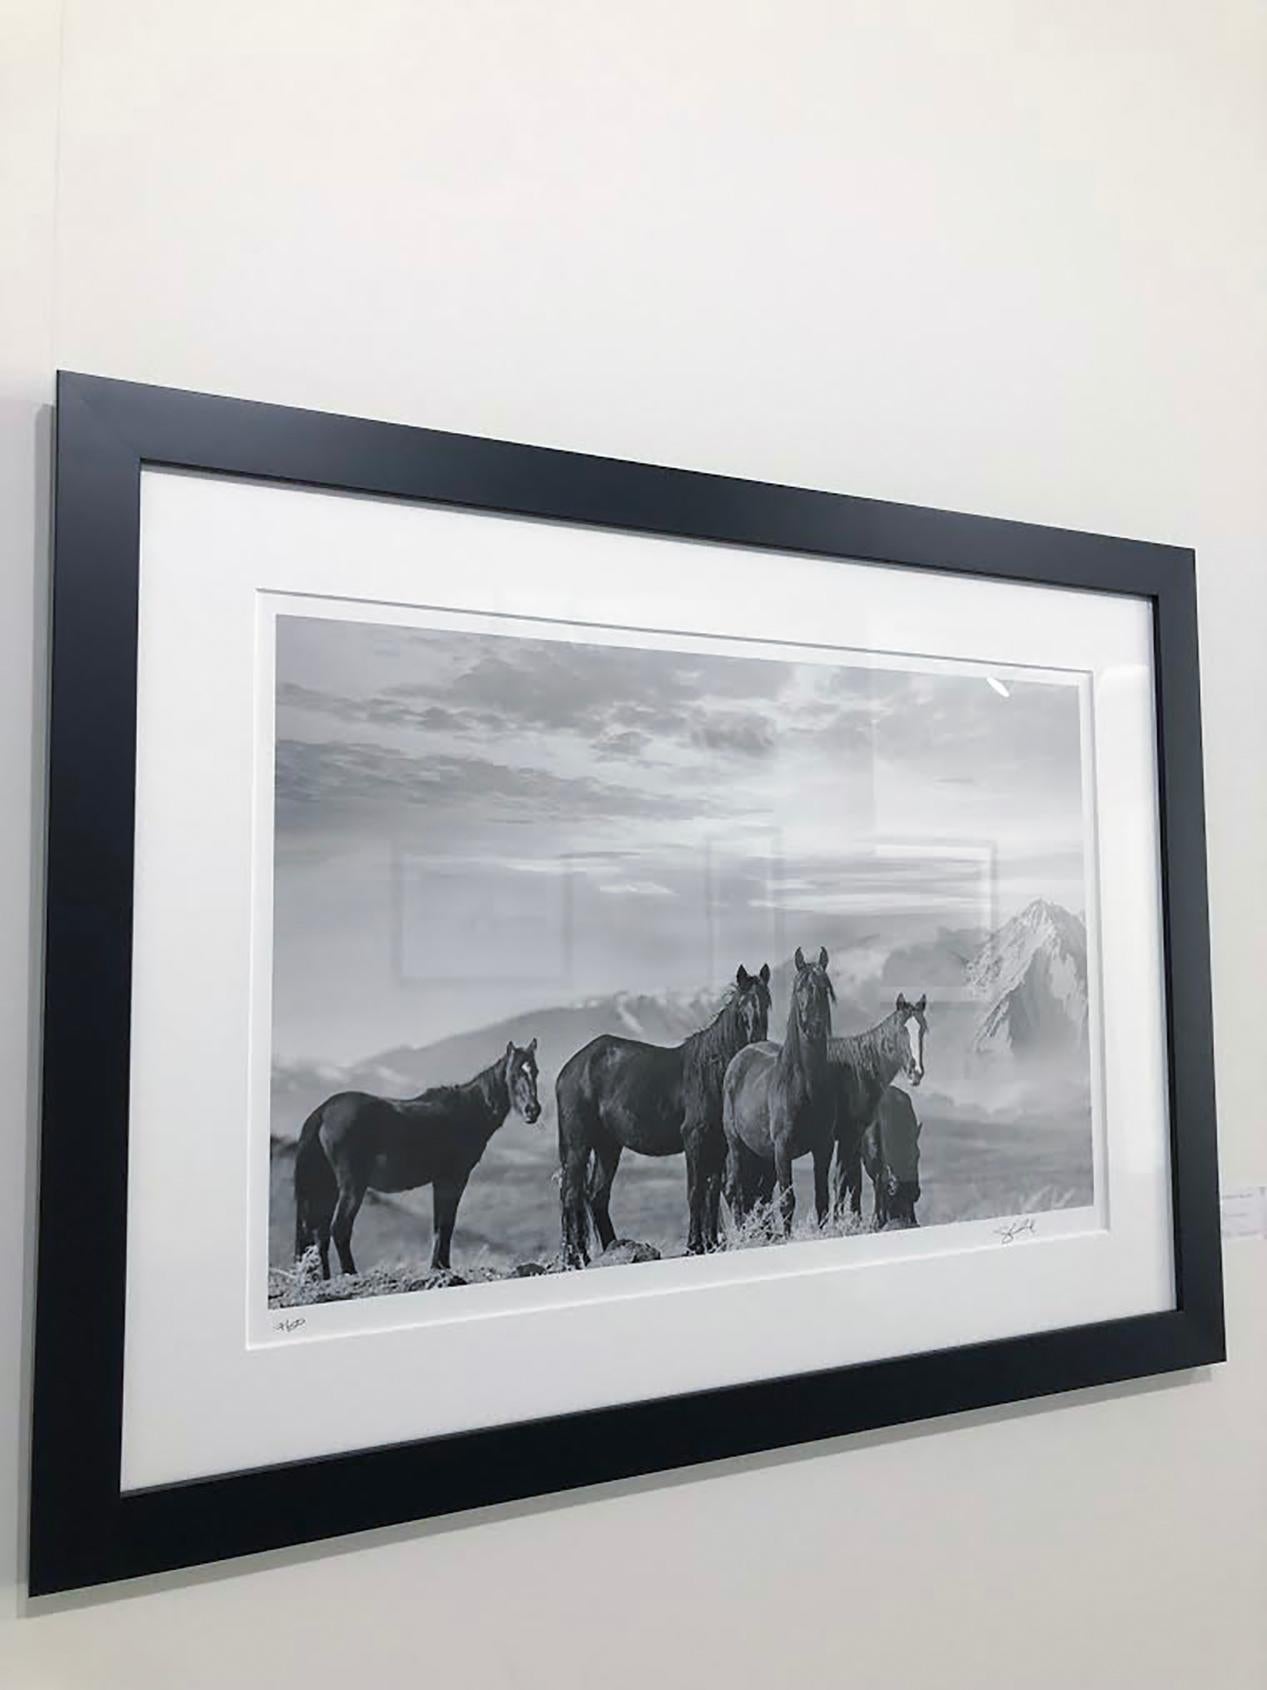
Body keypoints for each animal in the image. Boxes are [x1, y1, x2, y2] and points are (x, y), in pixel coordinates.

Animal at [295, 1027, 543, 1277]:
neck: (468, 1110)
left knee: (320, 1233)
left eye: (535, 1072)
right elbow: (446, 1224)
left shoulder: (440, 1181)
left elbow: (439, 1225)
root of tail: (324, 1110)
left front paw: (438, 1265)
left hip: (327, 1188)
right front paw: (442, 1266)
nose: (533, 1110)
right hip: (352, 1186)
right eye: (514, 1075)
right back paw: (350, 1273)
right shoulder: (454, 1178)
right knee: (339, 1228)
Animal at [557, 966, 773, 1270]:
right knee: (571, 1195)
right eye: (743, 1005)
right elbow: (695, 1191)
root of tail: (570, 1068)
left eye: (766, 1002)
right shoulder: (694, 1140)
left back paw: (611, 1250)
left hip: (607, 1146)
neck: (713, 1072)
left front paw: (710, 1244)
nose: (755, 1043)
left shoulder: (717, 1146)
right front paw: (694, 1245)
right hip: (577, 1146)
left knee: (596, 1195)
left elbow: (711, 1193)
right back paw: (575, 1258)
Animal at [723, 946, 844, 1237]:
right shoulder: (783, 1148)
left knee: (760, 1196)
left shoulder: (823, 1146)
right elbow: (788, 1201)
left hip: (762, 1154)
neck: (804, 1085)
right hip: (737, 1146)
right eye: (799, 988)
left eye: (825, 988)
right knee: (738, 1192)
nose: (813, 1026)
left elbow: (822, 1200)